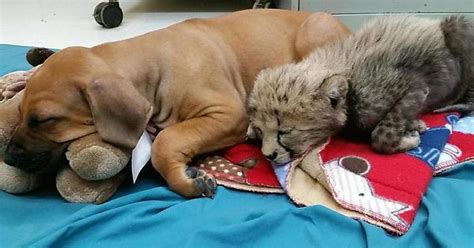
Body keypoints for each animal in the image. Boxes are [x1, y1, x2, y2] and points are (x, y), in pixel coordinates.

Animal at [4, 9, 352, 199]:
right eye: (21, 113)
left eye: (44, 120)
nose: (7, 157)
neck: (150, 66)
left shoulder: (227, 113)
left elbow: (167, 141)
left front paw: (186, 181)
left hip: (316, 33)